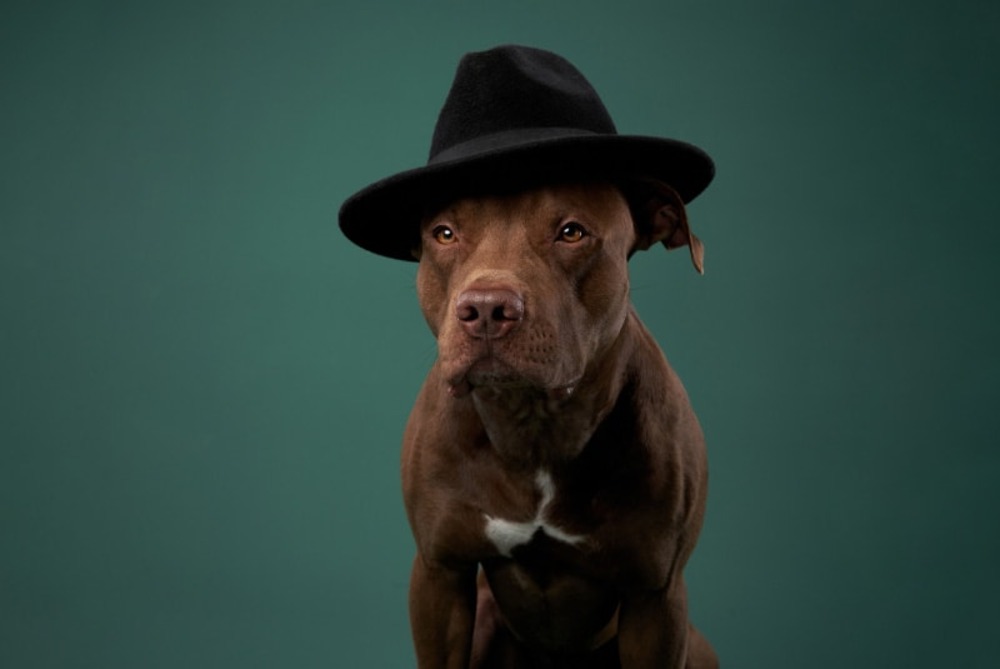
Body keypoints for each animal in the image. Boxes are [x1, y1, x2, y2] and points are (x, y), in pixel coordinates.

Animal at [400, 179, 720, 668]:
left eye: (572, 232)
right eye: (445, 234)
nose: (486, 308)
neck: (533, 425)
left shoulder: (657, 599)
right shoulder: (439, 577)